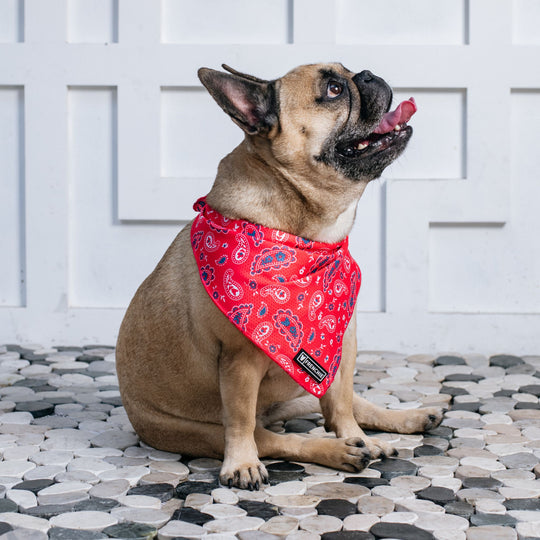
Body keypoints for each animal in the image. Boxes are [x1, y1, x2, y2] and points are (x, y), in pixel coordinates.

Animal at [116, 62, 440, 490]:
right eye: (334, 89)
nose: (368, 74)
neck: (308, 235)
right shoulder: (240, 362)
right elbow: (241, 422)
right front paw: (241, 464)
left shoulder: (341, 343)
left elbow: (342, 401)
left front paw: (357, 435)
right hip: (201, 429)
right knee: (272, 438)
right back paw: (337, 452)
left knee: (343, 406)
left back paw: (395, 424)